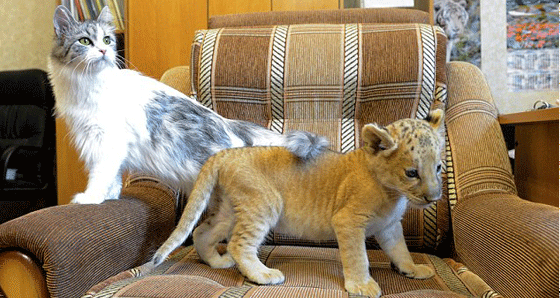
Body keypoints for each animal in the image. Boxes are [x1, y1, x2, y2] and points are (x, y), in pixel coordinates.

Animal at [49, 5, 328, 204]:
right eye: (85, 41)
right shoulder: (109, 145)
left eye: (107, 40)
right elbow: (114, 177)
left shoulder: (106, 141)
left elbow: (100, 175)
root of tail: (231, 124)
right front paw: (109, 197)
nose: (104, 52)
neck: (84, 84)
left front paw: (90, 198)